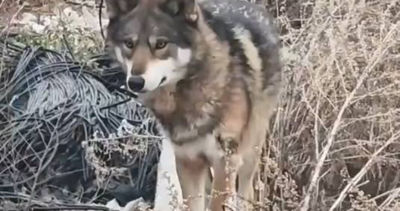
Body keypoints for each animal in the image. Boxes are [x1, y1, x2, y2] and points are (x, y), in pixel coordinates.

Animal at [103, 0, 282, 209]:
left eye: (161, 44)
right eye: (129, 44)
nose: (135, 82)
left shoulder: (225, 162)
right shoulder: (188, 161)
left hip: (250, 152)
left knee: (247, 192)